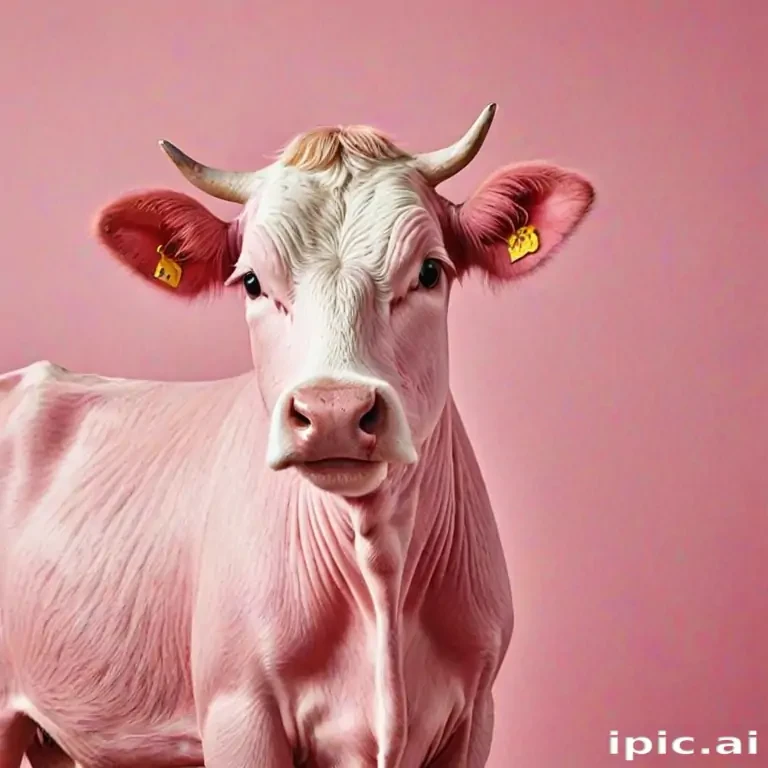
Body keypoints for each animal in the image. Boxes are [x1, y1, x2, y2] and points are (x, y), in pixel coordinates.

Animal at [0, 104, 595, 767]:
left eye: (430, 271)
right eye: (252, 283)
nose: (334, 409)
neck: (379, 564)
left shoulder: (474, 714)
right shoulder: (237, 708)